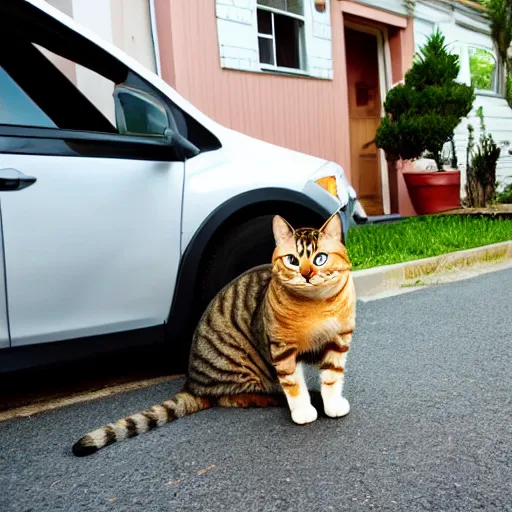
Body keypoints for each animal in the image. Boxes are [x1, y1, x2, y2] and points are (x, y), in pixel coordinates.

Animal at [72, 212, 356, 456]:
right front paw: (303, 410)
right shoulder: (282, 349)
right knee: (233, 397)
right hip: (243, 367)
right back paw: (279, 397)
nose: (307, 274)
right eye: (292, 261)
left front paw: (331, 404)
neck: (316, 305)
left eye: (320, 258)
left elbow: (332, 378)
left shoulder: (338, 342)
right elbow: (294, 385)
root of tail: (192, 384)